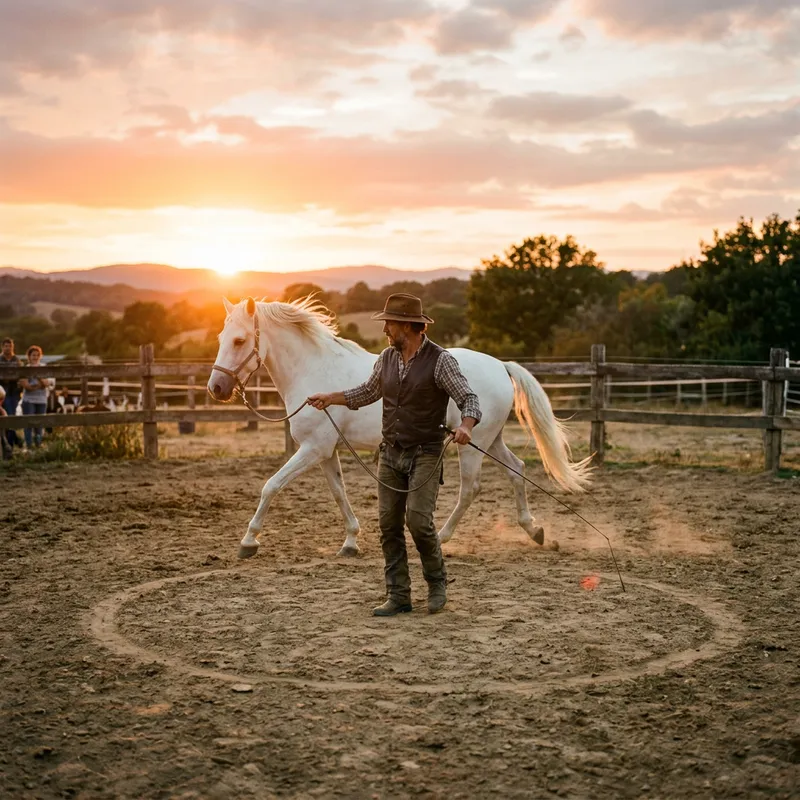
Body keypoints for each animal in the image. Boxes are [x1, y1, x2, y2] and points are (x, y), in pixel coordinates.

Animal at [208, 296, 592, 559]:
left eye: (240, 340)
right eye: (220, 338)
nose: (216, 388)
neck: (312, 369)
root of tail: (500, 364)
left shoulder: (313, 449)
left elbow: (270, 486)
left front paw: (248, 542)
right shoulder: (325, 451)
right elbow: (339, 493)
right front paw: (350, 541)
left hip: (470, 444)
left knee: (471, 489)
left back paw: (444, 537)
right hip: (489, 440)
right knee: (517, 470)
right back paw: (535, 530)